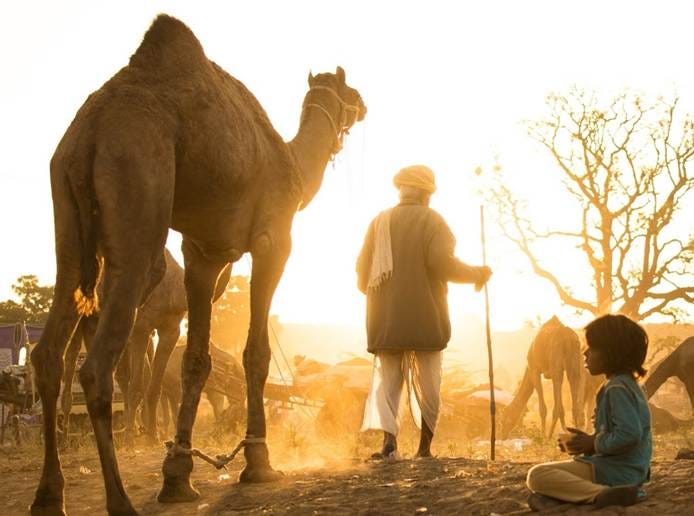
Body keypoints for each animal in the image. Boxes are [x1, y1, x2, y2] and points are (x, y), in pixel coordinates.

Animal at [30, 14, 365, 516]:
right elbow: (255, 353)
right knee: (101, 362)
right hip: (138, 180)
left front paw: (178, 475)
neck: (291, 163)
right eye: (347, 89)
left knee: (51, 347)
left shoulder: (203, 254)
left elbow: (196, 359)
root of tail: (90, 133)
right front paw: (258, 463)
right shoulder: (273, 240)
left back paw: (50, 496)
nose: (362, 104)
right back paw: (120, 500)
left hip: (67, 212)